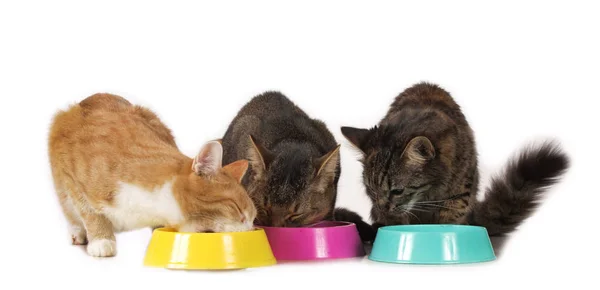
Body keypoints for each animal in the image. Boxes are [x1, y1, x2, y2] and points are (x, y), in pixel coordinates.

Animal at [45, 92, 254, 256]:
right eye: (237, 209)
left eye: (253, 217)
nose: (250, 229)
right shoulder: (72, 177)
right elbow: (89, 212)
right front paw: (101, 240)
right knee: (69, 209)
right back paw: (79, 232)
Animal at [340, 82, 568, 240]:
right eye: (371, 190)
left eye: (397, 191)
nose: (383, 208)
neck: (427, 195)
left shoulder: (460, 194)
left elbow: (448, 220)